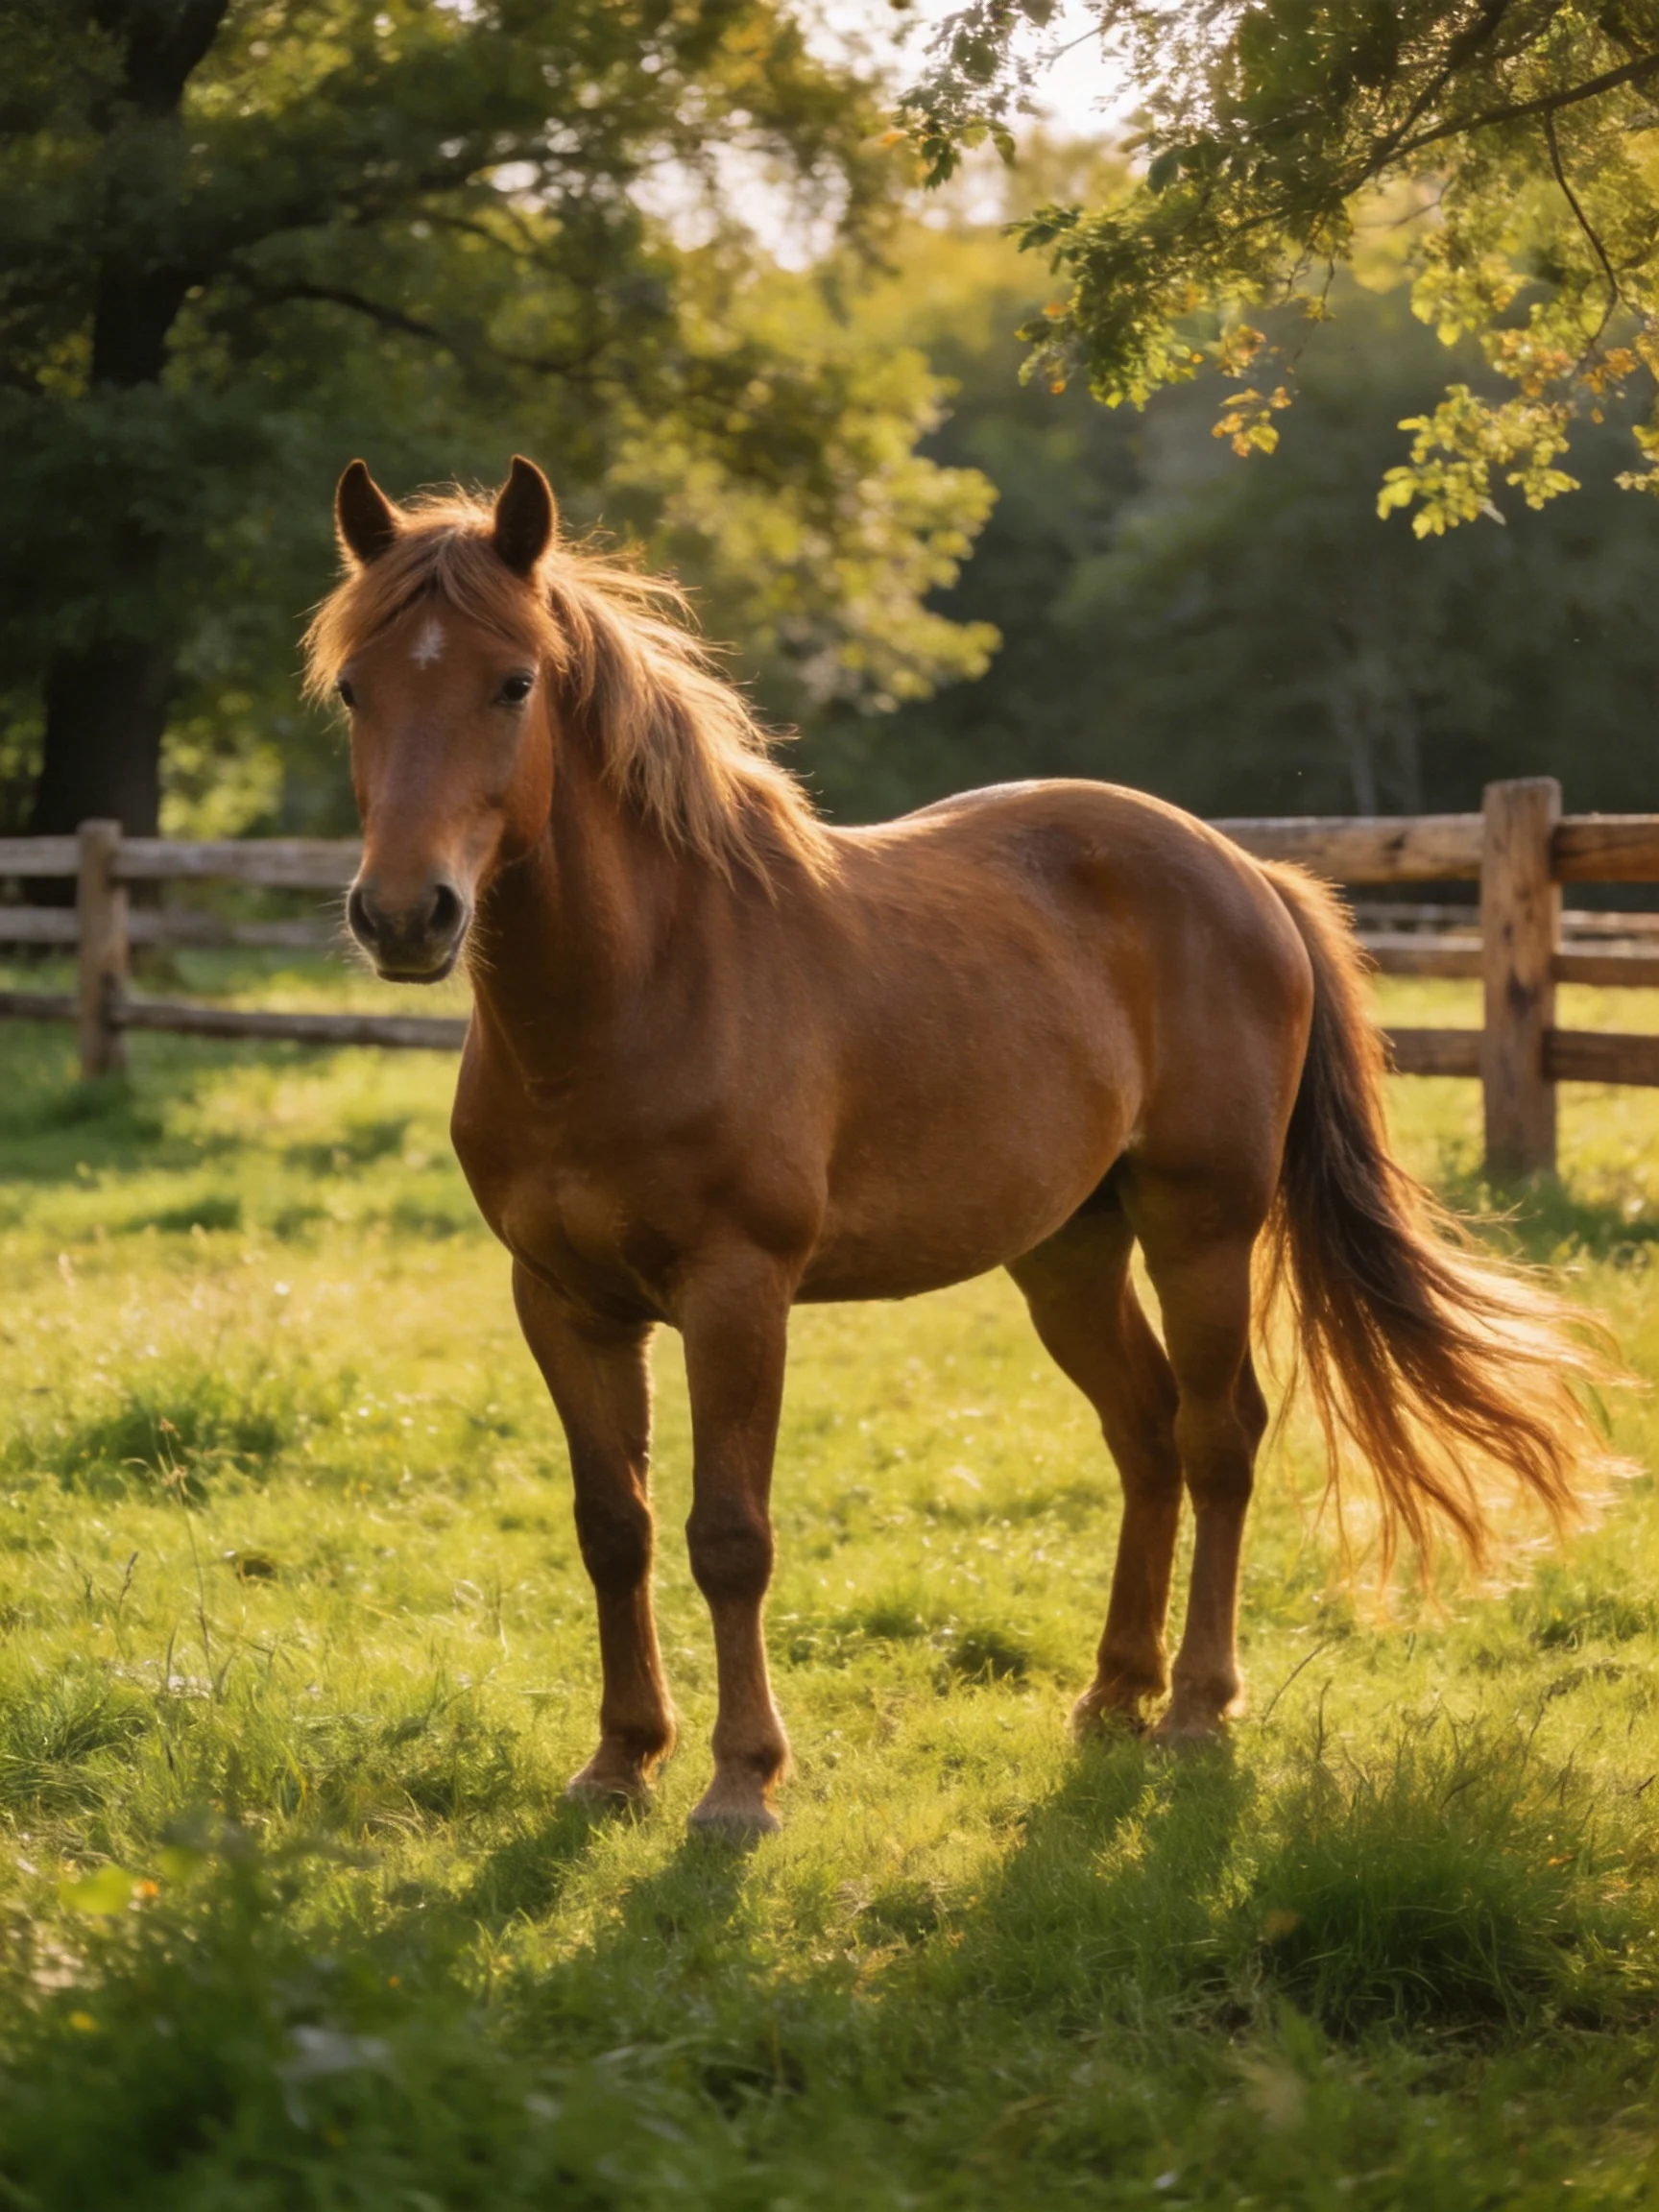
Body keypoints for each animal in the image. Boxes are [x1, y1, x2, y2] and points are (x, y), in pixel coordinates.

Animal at [306, 454, 1609, 1837]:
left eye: (514, 682)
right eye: (356, 687)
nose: (405, 914)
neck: (636, 994)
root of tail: (1249, 874)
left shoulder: (736, 1293)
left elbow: (730, 1536)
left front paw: (739, 1783)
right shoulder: (560, 1301)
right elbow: (616, 1526)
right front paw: (619, 1762)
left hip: (1199, 1230)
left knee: (1219, 1437)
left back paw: (1196, 1712)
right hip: (1069, 1256)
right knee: (1146, 1435)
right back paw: (1115, 1693)